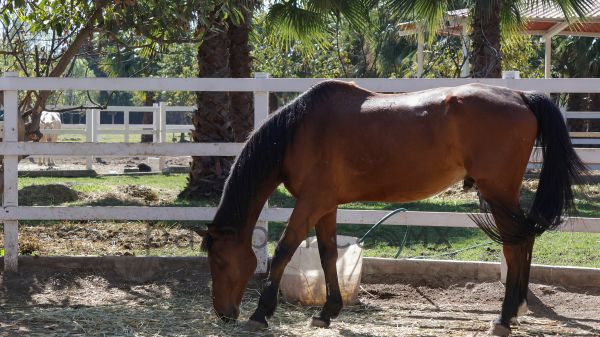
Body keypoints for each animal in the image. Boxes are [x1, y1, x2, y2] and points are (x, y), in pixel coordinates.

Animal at [198, 81, 584, 336]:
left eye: (219, 260)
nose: (224, 314)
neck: (299, 130)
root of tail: (520, 96)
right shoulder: (325, 205)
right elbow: (326, 255)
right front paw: (327, 311)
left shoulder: (309, 203)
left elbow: (283, 251)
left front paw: (261, 313)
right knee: (524, 241)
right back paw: (516, 311)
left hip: (498, 192)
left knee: (514, 245)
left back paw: (504, 318)